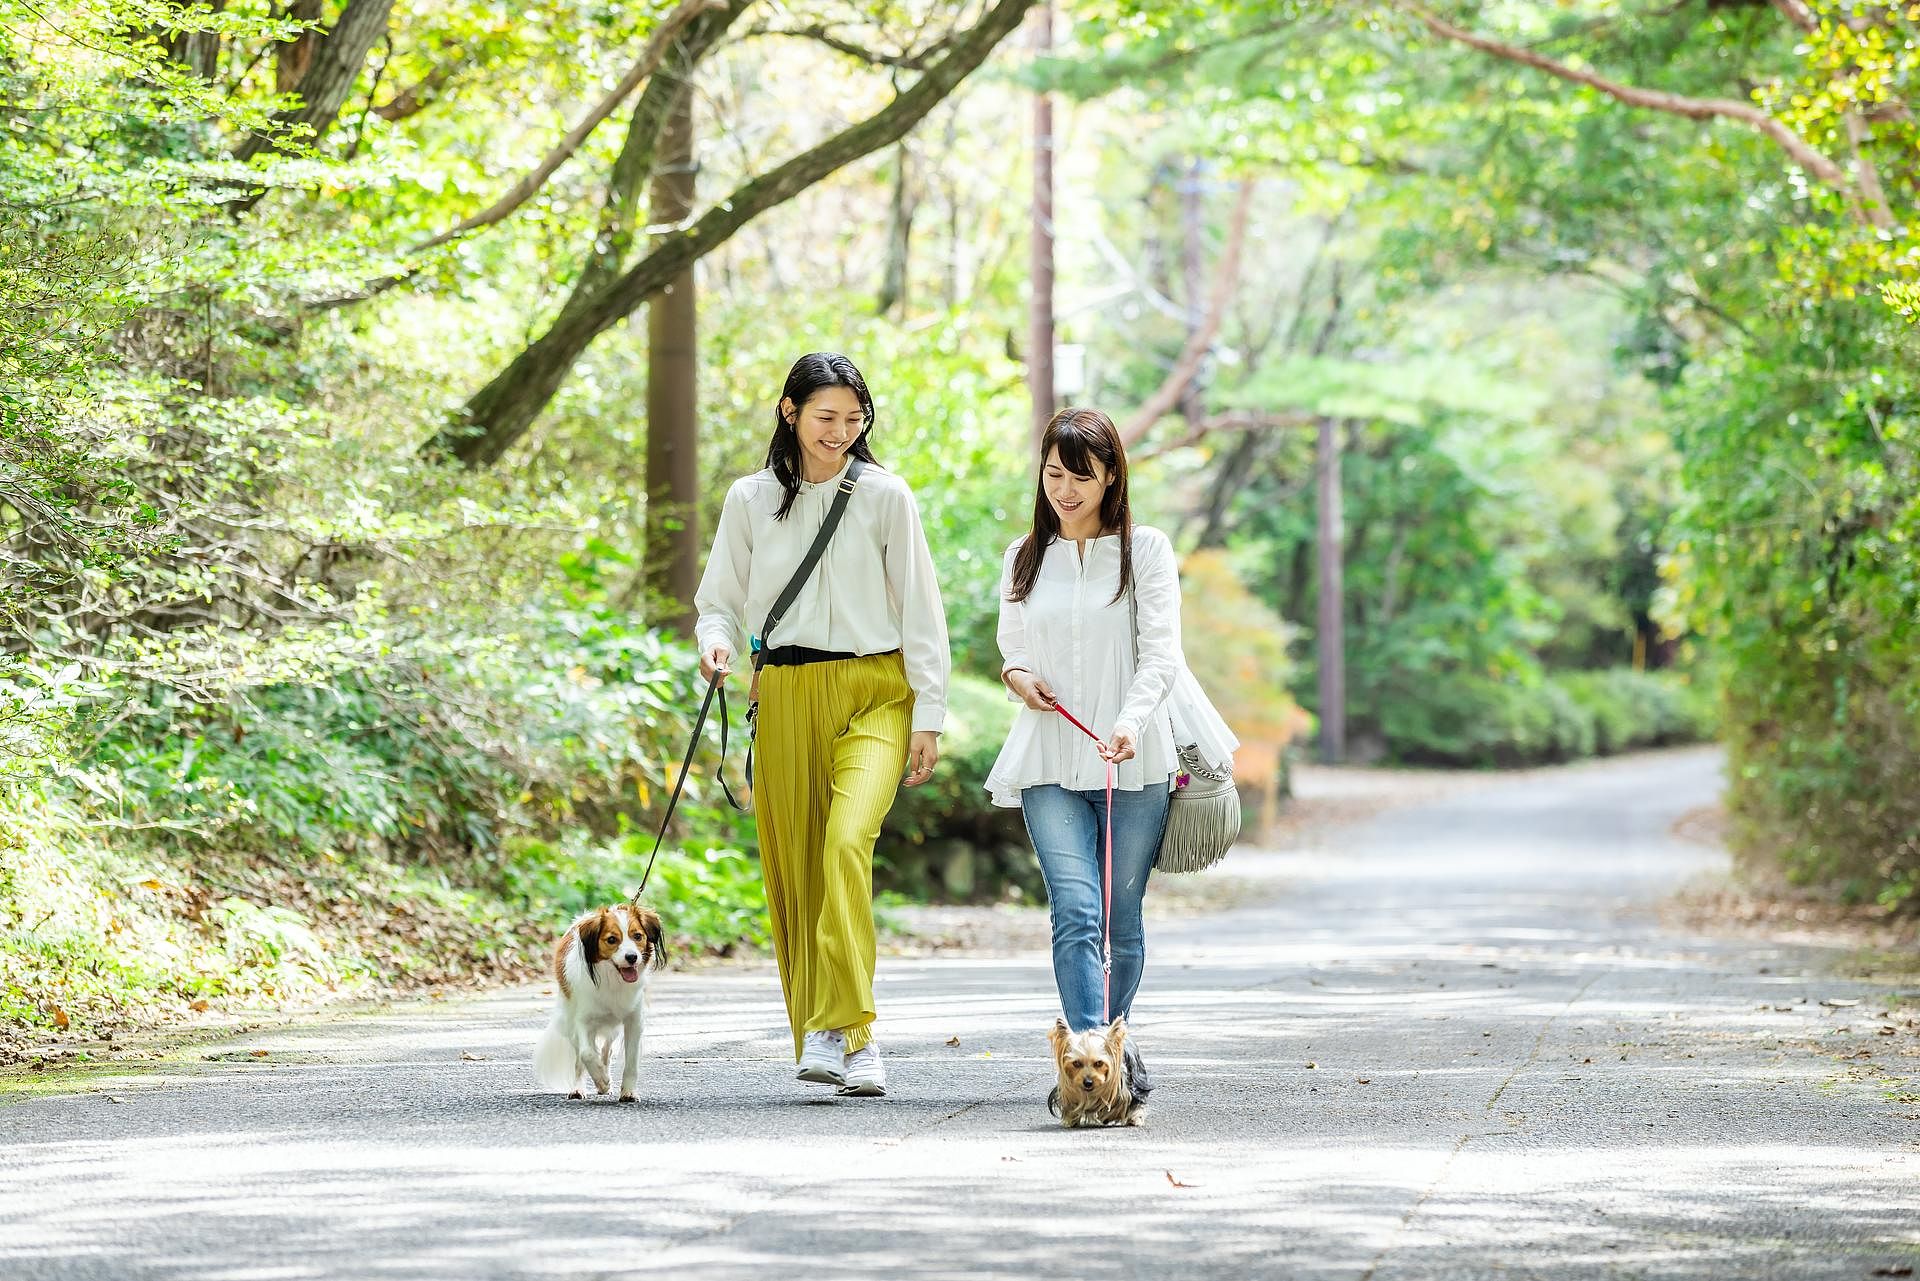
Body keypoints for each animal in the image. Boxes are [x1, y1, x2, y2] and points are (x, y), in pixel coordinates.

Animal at [533, 902, 668, 1106]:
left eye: (637, 936)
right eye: (612, 939)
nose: (632, 957)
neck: (613, 980)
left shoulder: (634, 1022)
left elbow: (631, 1061)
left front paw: (628, 1092)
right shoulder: (583, 1021)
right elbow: (587, 1054)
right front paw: (602, 1081)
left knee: (607, 1049)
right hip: (570, 1021)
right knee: (581, 1058)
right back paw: (579, 1088)